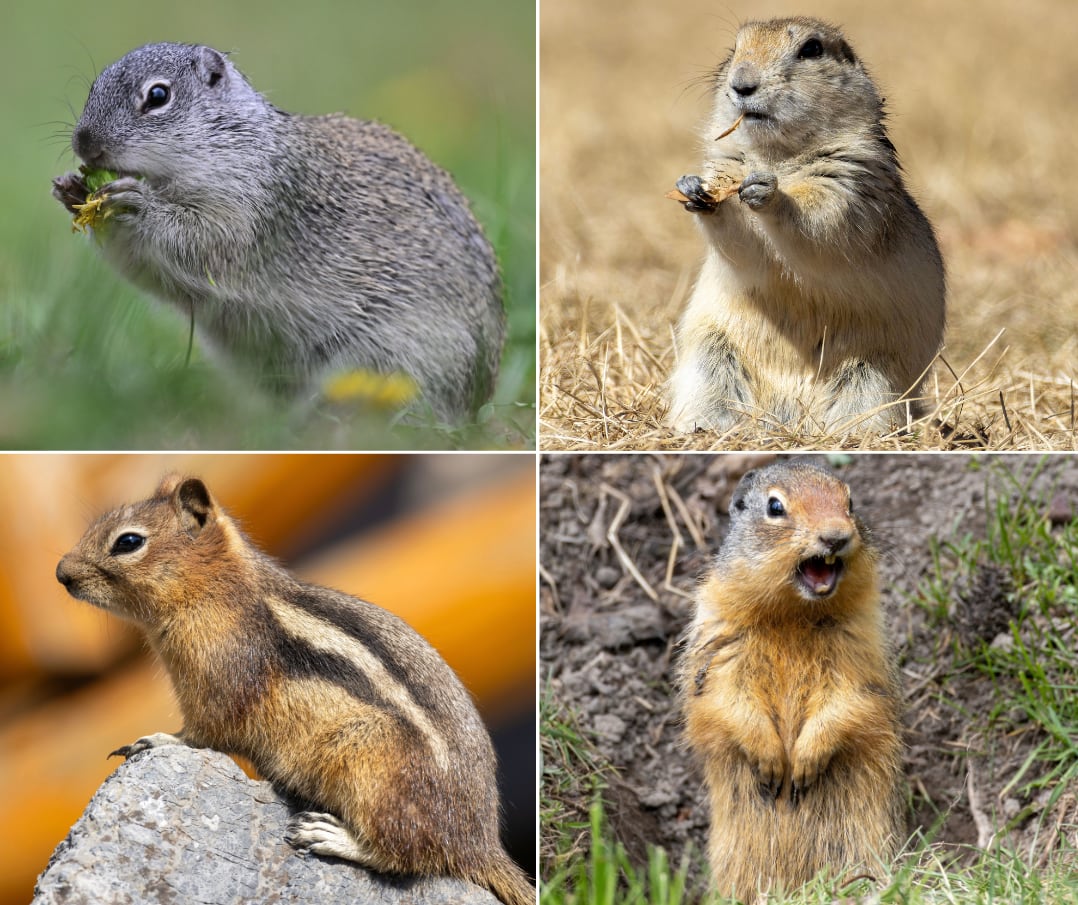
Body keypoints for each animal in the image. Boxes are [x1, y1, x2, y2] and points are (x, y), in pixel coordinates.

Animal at [52, 43, 505, 422]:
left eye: (158, 96)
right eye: (95, 86)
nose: (84, 144)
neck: (228, 143)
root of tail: (475, 407)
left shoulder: (251, 210)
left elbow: (199, 241)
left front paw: (136, 203)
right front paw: (71, 190)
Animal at [54, 474, 533, 905]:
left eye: (128, 542)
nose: (61, 573)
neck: (217, 590)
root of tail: (479, 842)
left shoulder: (219, 683)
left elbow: (202, 733)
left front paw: (156, 740)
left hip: (370, 767)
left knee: (404, 854)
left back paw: (330, 835)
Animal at [666, 17, 946, 435]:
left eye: (811, 49)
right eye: (734, 48)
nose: (741, 83)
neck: (777, 156)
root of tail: (788, 416)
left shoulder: (849, 181)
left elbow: (821, 223)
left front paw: (771, 194)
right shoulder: (728, 163)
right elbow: (739, 245)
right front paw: (693, 188)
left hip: (875, 379)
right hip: (711, 363)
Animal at [679, 459, 904, 901]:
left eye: (851, 502)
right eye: (775, 507)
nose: (835, 536)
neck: (792, 616)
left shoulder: (858, 643)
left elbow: (848, 700)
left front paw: (803, 763)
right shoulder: (722, 638)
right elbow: (727, 696)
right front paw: (771, 764)